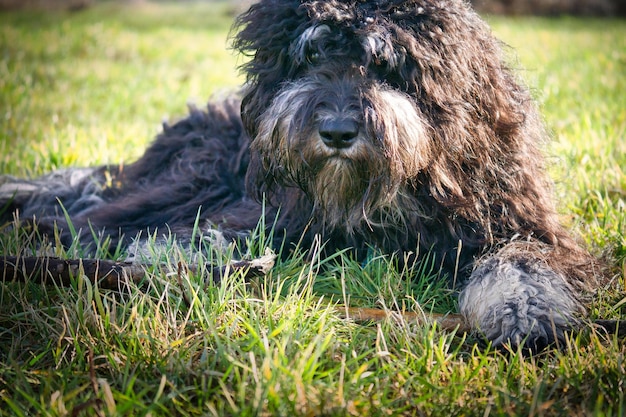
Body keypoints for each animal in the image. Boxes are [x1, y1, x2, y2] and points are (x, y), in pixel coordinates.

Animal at [2, 0, 604, 352]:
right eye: (311, 58)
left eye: (385, 64)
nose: (337, 132)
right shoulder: (274, 213)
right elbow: (228, 235)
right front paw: (174, 255)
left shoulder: (518, 217)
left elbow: (523, 257)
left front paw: (522, 307)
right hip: (192, 178)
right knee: (89, 215)